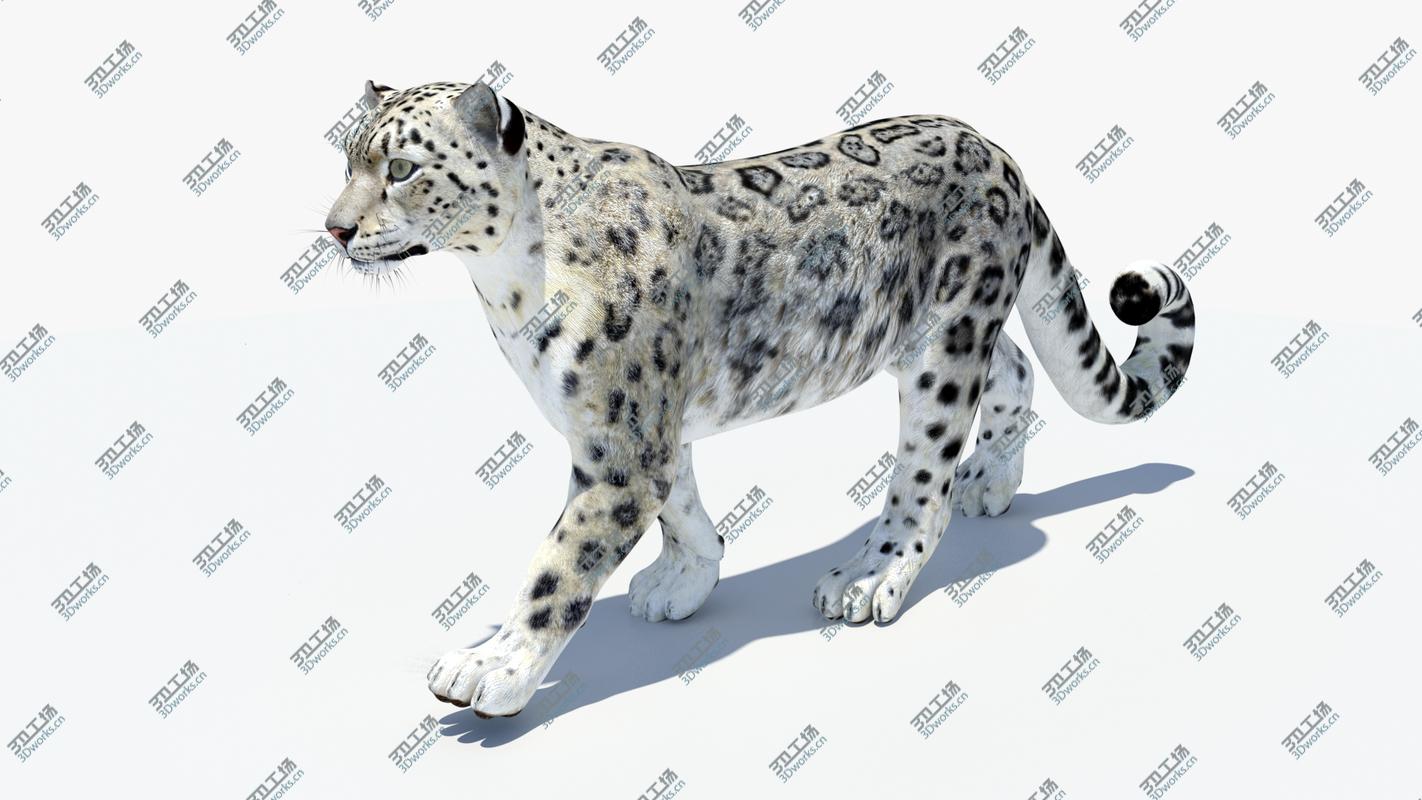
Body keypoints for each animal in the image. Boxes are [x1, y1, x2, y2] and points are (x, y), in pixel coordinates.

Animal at [323, 79, 1195, 718]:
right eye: (347, 162)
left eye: (400, 169)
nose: (333, 229)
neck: (503, 284)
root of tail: (998, 149)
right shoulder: (643, 428)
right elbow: (682, 506)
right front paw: (683, 582)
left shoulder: (619, 450)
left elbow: (557, 568)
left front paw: (492, 667)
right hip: (919, 332)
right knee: (1013, 367)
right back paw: (992, 479)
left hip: (944, 348)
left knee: (924, 475)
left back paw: (869, 576)